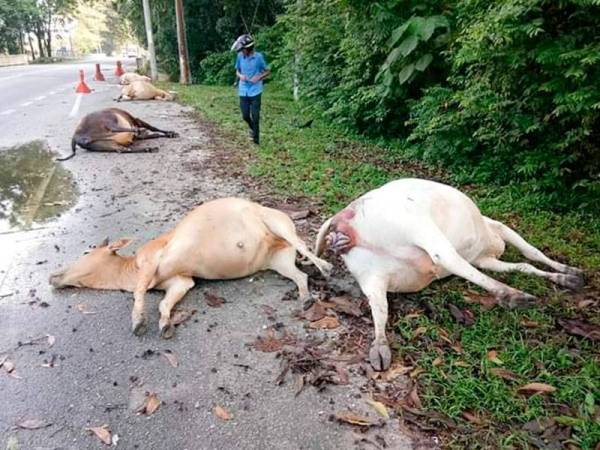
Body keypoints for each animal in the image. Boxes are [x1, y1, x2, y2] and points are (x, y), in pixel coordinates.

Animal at [49, 197, 332, 338]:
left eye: (86, 251)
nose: (52, 276)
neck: (130, 268)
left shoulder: (150, 259)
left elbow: (139, 293)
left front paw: (138, 321)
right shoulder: (182, 281)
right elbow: (165, 303)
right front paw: (165, 325)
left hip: (277, 223)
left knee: (305, 247)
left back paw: (326, 267)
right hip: (278, 260)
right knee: (300, 275)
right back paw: (306, 298)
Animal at [316, 178, 584, 370]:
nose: (498, 248)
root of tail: (341, 220)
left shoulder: (484, 258)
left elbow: (523, 265)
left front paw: (565, 276)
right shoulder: (497, 229)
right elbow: (532, 252)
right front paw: (570, 273)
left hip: (371, 274)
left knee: (379, 307)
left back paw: (380, 348)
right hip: (418, 225)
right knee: (445, 257)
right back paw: (513, 296)